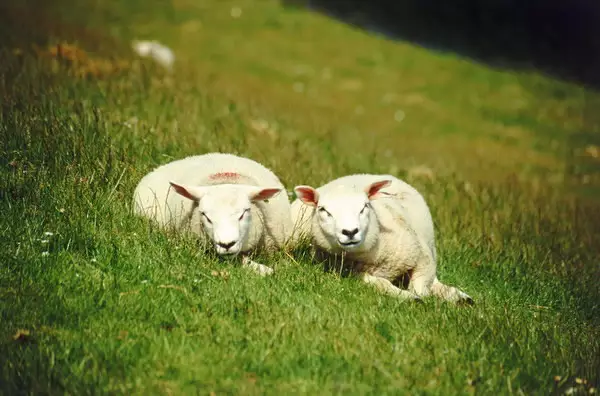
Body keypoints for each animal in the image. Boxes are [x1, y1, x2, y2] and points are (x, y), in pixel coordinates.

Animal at [292, 173, 474, 304]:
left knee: (434, 281)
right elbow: (381, 284)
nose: (350, 232)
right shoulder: (350, 273)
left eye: (365, 206)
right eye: (323, 210)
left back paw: (460, 297)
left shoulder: (423, 258)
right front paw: (408, 297)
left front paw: (421, 297)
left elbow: (421, 287)